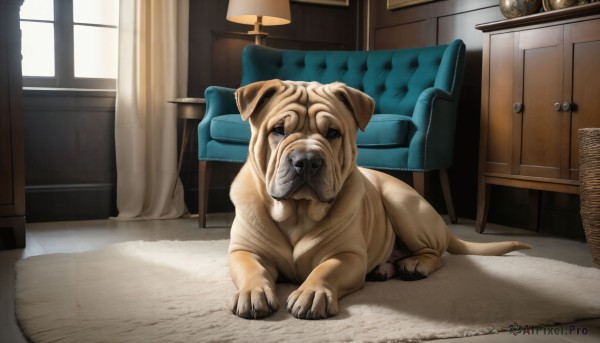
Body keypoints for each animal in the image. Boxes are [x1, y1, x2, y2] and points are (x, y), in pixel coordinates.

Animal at [226, 79, 528, 322]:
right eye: (278, 130)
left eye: (333, 133)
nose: (308, 160)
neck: (297, 211)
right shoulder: (243, 250)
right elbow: (252, 267)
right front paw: (253, 292)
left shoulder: (349, 256)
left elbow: (326, 269)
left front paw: (311, 292)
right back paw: (383, 269)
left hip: (401, 204)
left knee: (435, 254)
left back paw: (415, 265)